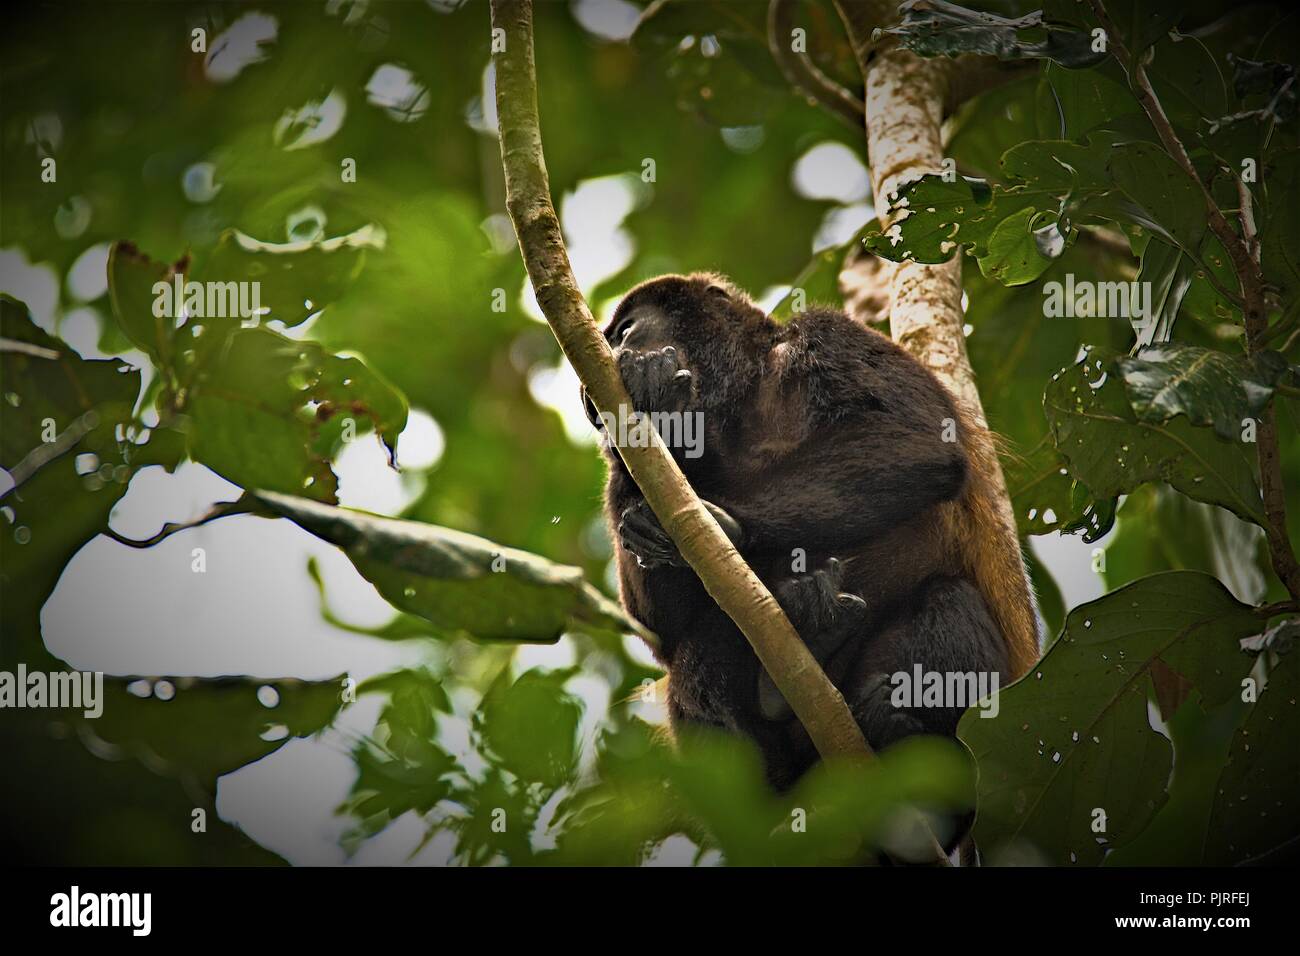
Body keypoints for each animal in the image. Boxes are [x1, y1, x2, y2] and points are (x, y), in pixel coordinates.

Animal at [585, 273, 1040, 790]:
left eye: (624, 330)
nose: (587, 388)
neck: (743, 402)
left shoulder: (833, 335)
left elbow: (920, 442)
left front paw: (724, 521)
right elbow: (663, 628)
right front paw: (657, 438)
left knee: (952, 598)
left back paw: (899, 728)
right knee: (697, 648)